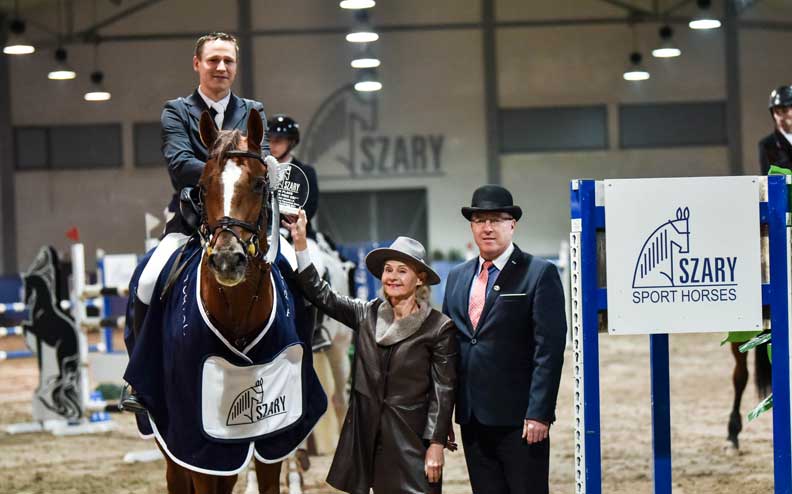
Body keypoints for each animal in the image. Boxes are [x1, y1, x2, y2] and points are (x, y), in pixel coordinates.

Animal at [123, 109, 326, 494]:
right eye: (202, 187)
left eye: (261, 184)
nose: (228, 260)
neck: (238, 314)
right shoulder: (196, 441)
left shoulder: (273, 433)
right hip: (166, 434)